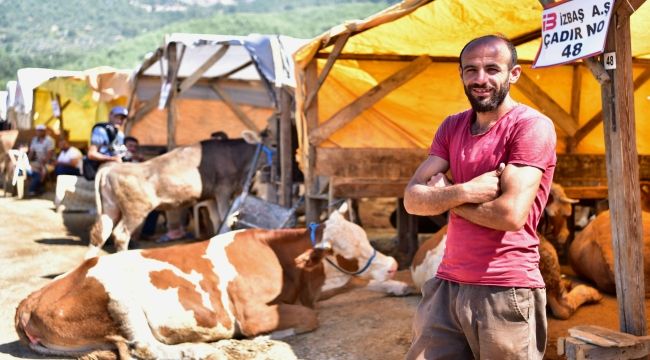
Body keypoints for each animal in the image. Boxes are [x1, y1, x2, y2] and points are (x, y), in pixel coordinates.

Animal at [16, 207, 410, 358]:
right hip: (119, 297)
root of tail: (27, 301)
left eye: (366, 239)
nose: (394, 265)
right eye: (349, 252)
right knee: (146, 347)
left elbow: (357, 286)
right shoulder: (253, 313)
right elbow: (307, 319)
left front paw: (398, 287)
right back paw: (201, 348)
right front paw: (263, 338)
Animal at [86, 132, 264, 258]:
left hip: (110, 207)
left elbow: (216, 221)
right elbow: (224, 221)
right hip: (135, 210)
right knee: (121, 235)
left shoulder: (211, 197)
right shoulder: (223, 190)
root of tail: (111, 167)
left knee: (100, 234)